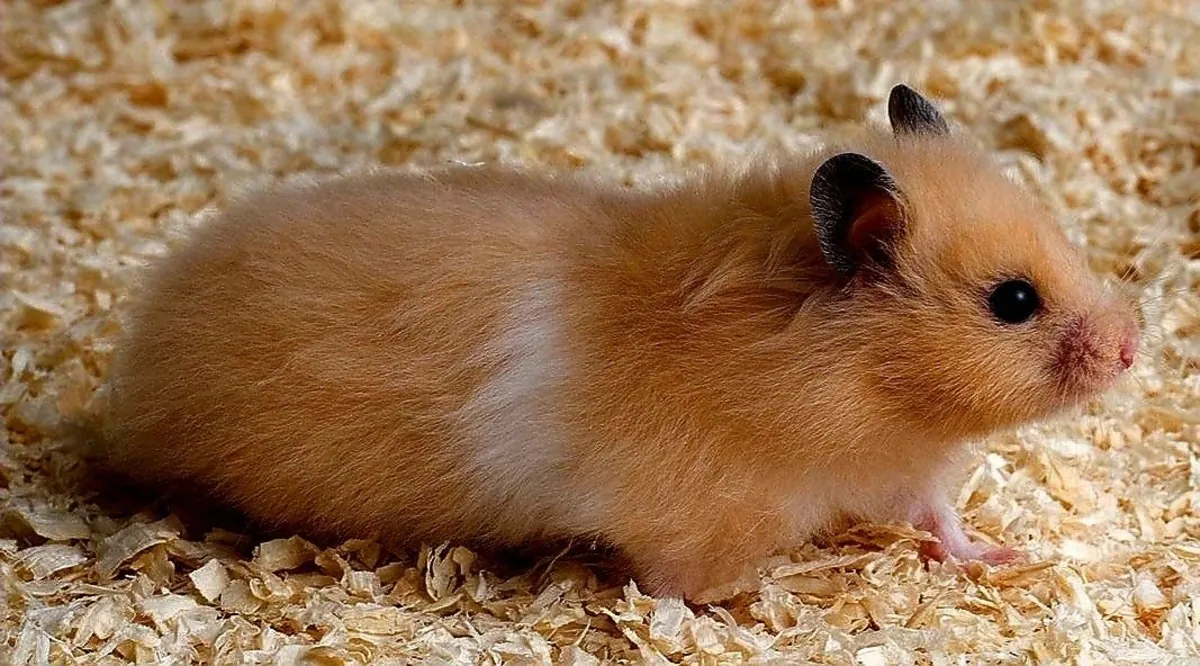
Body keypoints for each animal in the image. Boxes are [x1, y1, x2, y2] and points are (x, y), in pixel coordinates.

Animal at [100, 85, 1140, 602]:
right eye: (1013, 301)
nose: (1133, 348)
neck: (857, 387)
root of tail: (139, 355)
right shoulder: (699, 516)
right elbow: (691, 588)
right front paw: (764, 602)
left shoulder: (909, 469)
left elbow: (943, 522)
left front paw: (1001, 557)